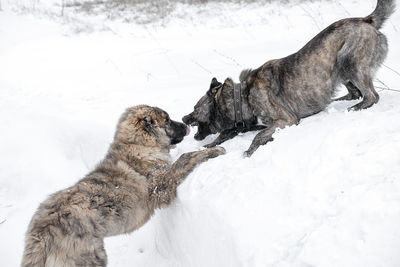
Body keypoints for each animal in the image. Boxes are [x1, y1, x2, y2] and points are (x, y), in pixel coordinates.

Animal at [21, 105, 225, 267]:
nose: (185, 124)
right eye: (167, 120)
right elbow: (185, 158)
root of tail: (38, 236)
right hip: (91, 257)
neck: (138, 144)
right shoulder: (161, 186)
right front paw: (213, 150)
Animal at [183, 0, 396, 158]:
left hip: (348, 61)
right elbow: (229, 134)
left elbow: (258, 135)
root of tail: (367, 20)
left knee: (371, 96)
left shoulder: (286, 119)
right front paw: (209, 146)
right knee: (355, 93)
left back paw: (354, 108)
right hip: (340, 70)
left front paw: (249, 152)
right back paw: (339, 101)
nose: (184, 118)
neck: (242, 96)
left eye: (195, 107)